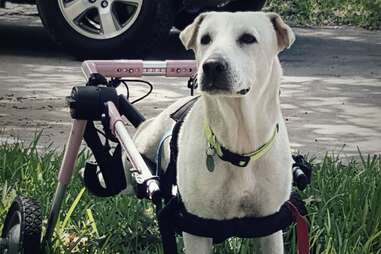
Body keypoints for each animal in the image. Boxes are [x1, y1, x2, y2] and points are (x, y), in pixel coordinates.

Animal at [124, 10, 294, 253]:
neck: (239, 142)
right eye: (205, 39)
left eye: (248, 38)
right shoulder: (197, 225)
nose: (212, 65)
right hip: (142, 144)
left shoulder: (269, 222)